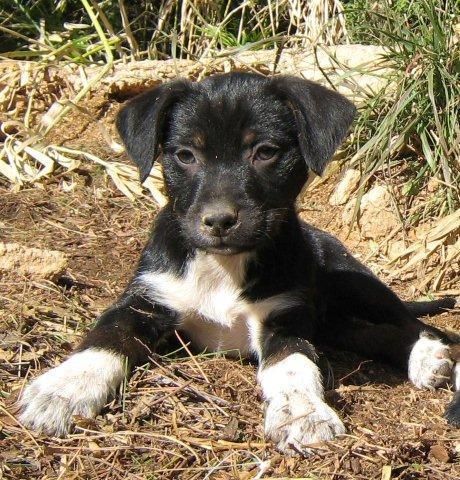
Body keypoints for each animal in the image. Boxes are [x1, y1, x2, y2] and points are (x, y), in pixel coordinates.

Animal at [19, 72, 460, 454]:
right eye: (185, 155)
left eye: (265, 152)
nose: (218, 221)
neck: (222, 266)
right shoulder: (145, 299)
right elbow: (106, 338)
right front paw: (62, 389)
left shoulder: (285, 317)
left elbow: (292, 366)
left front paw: (302, 413)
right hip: (333, 322)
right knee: (372, 334)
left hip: (354, 282)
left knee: (414, 324)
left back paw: (429, 357)